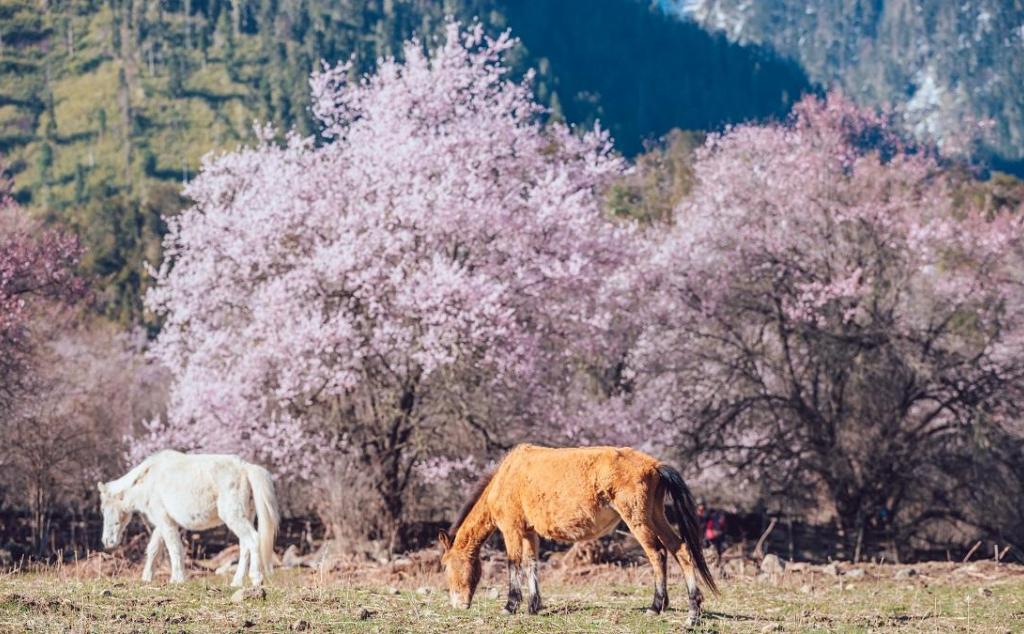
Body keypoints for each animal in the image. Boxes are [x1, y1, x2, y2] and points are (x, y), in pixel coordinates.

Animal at [97, 448, 280, 585]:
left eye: (104, 509)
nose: (107, 541)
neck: (149, 480)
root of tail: (245, 468)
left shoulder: (165, 521)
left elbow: (174, 548)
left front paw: (177, 580)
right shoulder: (164, 522)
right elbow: (154, 549)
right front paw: (147, 578)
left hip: (234, 517)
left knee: (253, 540)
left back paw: (256, 579)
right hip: (246, 517)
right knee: (244, 547)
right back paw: (236, 582)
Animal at [440, 444, 720, 626]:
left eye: (445, 566)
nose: (458, 604)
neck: (506, 476)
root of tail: (654, 465)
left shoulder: (512, 529)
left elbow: (513, 564)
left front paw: (510, 606)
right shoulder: (529, 532)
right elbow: (531, 564)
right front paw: (533, 606)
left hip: (637, 519)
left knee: (657, 554)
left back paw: (656, 607)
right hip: (655, 515)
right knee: (680, 549)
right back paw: (693, 611)